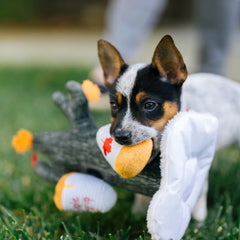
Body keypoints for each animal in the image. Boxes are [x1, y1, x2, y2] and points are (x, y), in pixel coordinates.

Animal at [97, 35, 240, 221]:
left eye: (149, 105)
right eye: (114, 105)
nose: (120, 136)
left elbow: (200, 190)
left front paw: (199, 221)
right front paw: (137, 212)